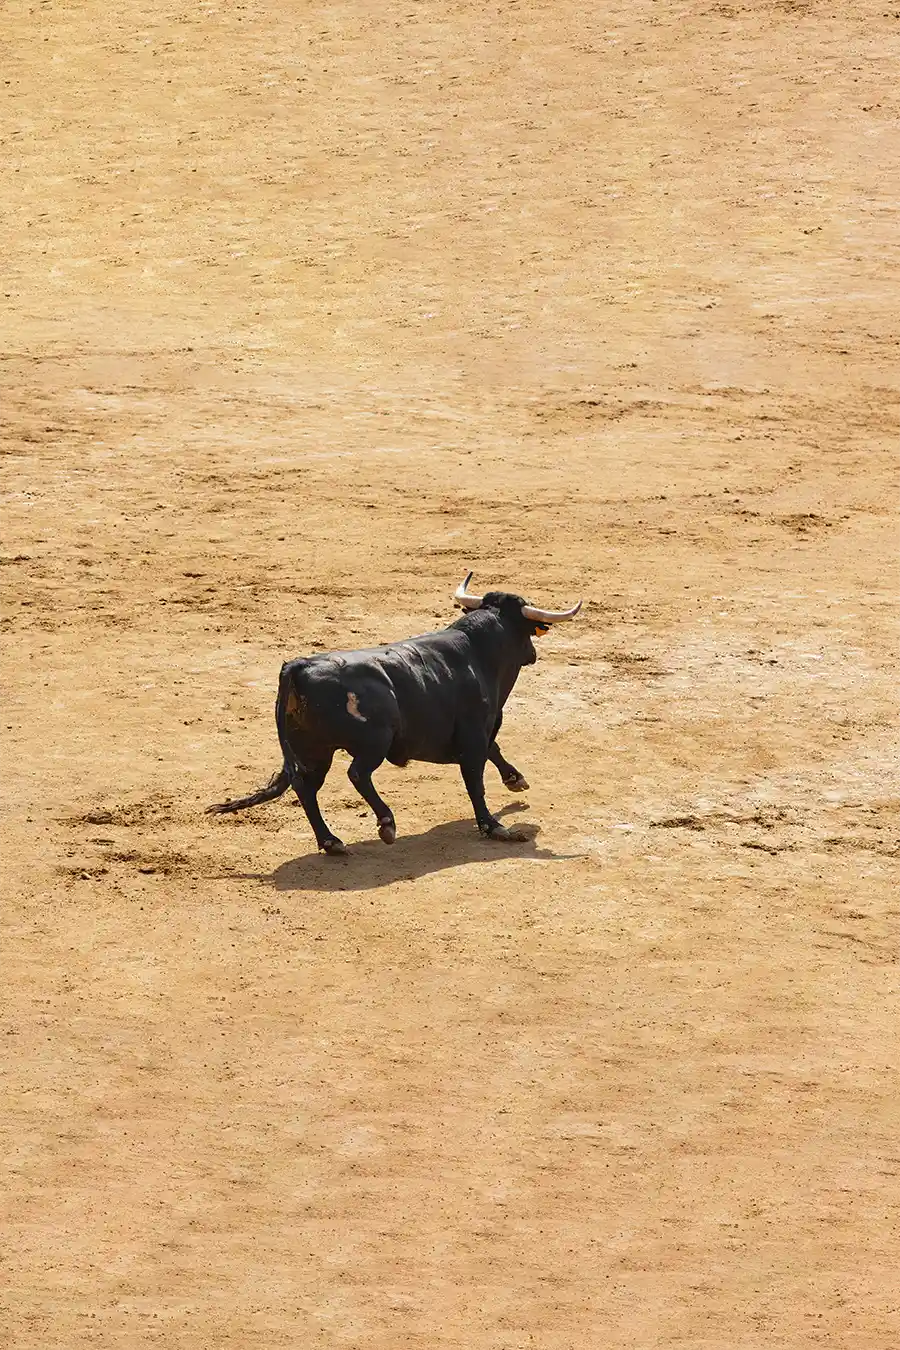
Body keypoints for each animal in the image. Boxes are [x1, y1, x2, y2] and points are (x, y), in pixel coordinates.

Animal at [206, 574, 582, 855]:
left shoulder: (480, 732)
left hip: (313, 750)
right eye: (526, 631)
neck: (477, 652)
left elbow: (495, 750)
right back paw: (386, 824)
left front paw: (515, 780)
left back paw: (332, 842)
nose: (533, 654)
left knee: (306, 787)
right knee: (357, 774)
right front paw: (493, 826)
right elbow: (475, 780)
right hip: (373, 741)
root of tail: (299, 666)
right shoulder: (474, 733)